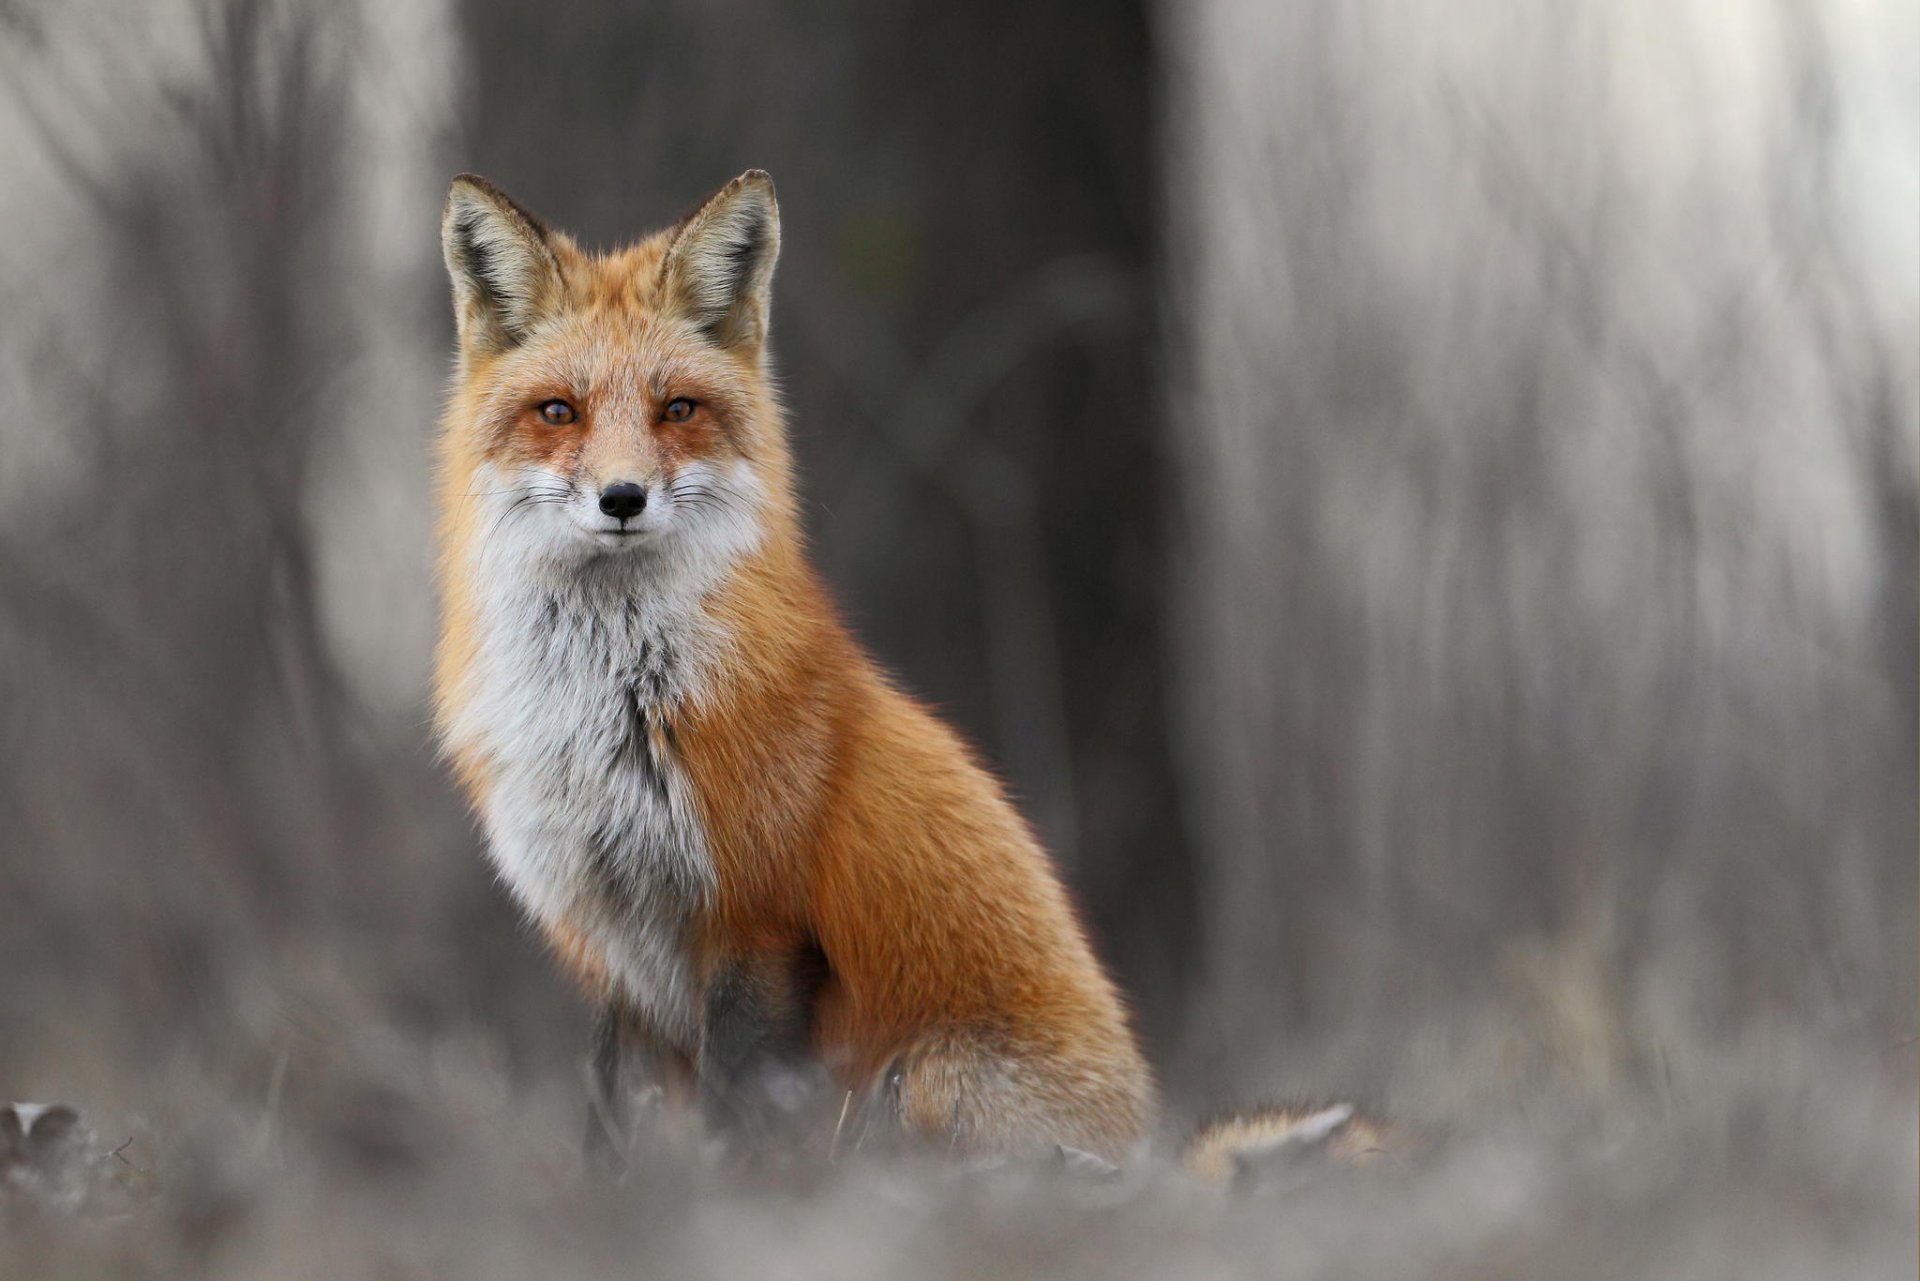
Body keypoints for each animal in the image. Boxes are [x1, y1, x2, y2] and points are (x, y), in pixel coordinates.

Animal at [432, 170, 1155, 1162]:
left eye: (677, 409)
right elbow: (604, 1128)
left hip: (926, 1079)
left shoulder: (758, 925)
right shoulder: (609, 947)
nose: (622, 497)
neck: (609, 711)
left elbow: (735, 1125)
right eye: (558, 412)